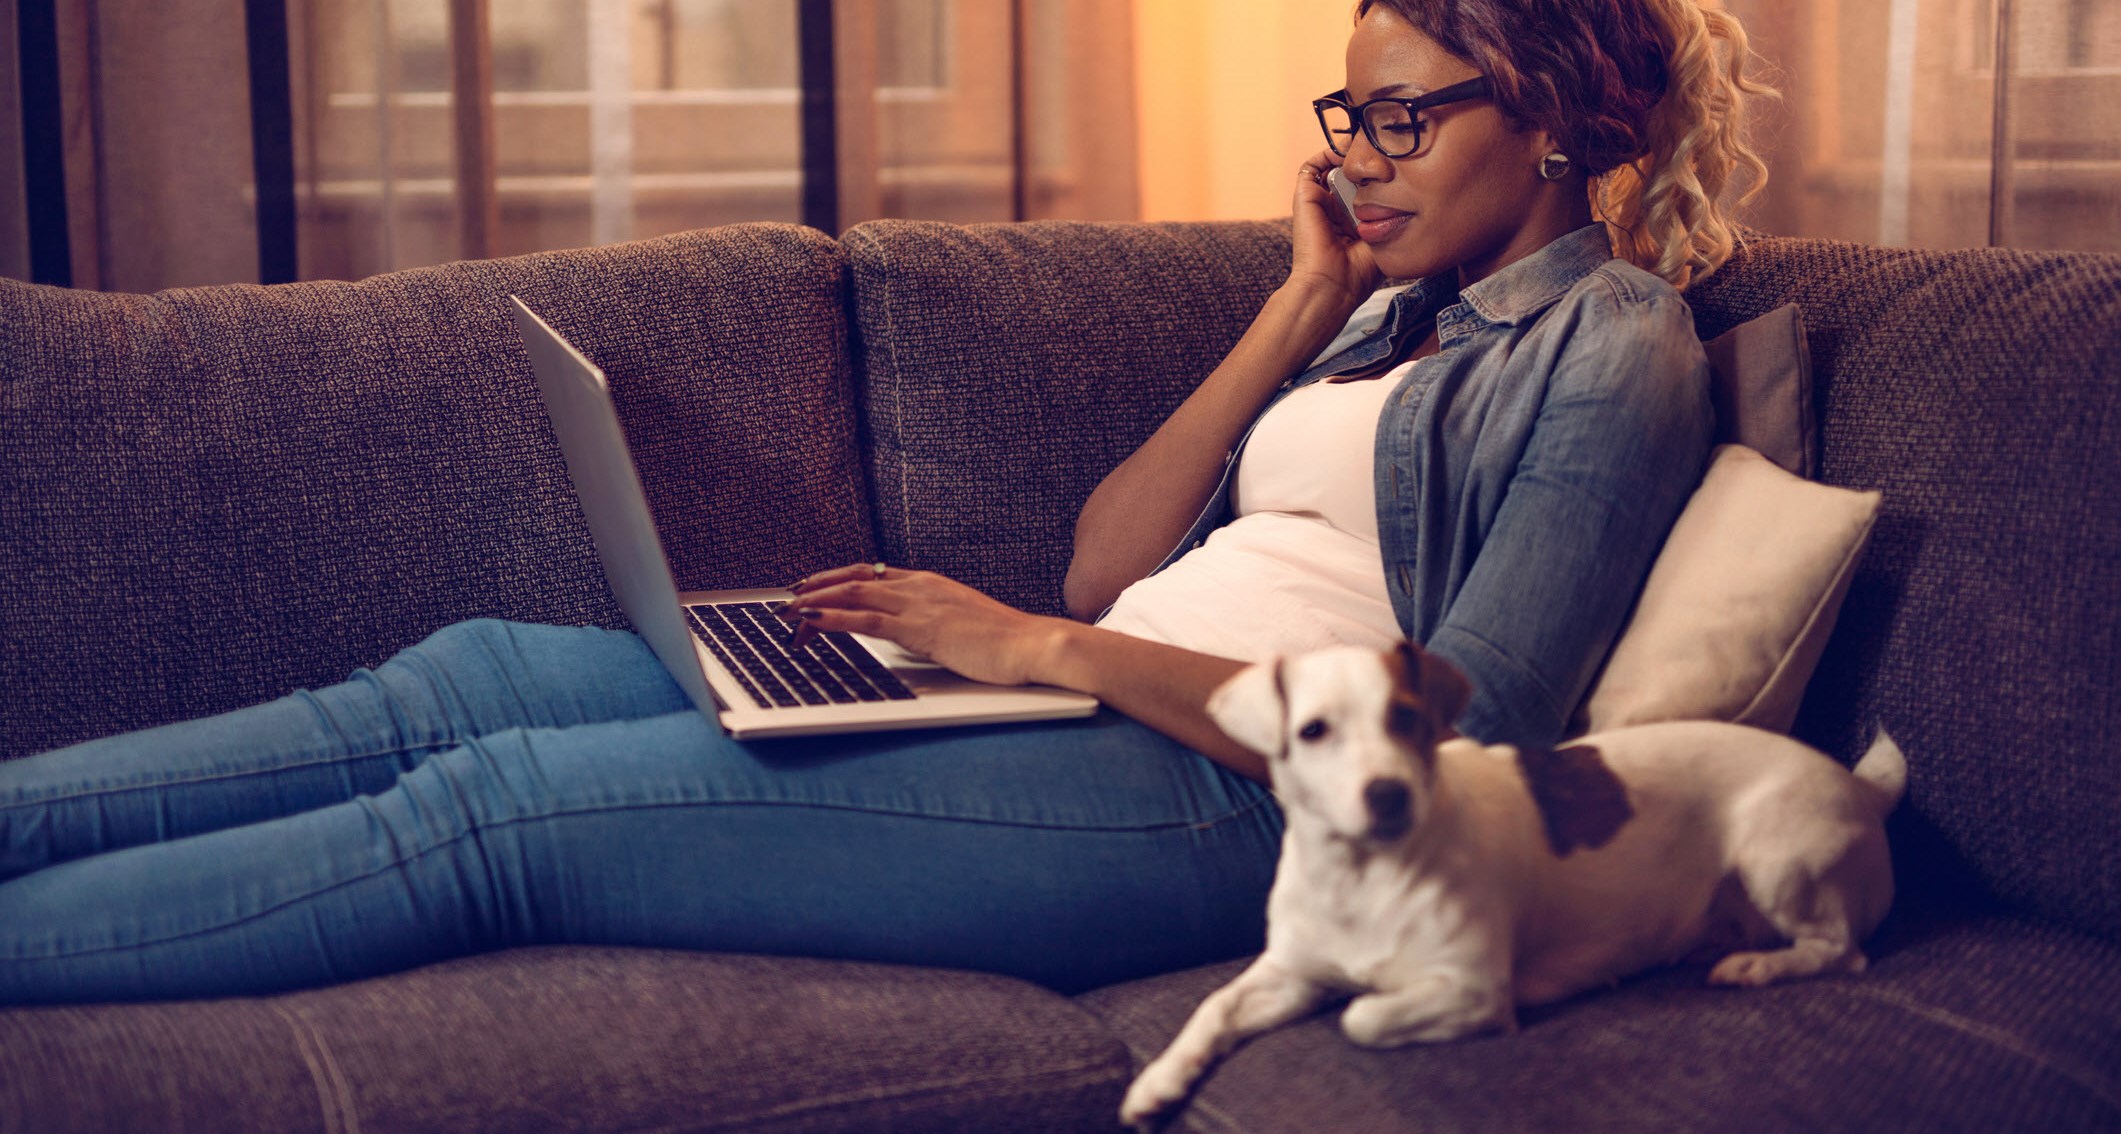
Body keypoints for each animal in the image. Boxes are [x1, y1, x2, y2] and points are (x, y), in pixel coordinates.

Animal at [1128, 644, 1908, 1127]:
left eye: (1407, 719)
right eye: (1314, 731)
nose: (1388, 795)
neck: (1359, 877)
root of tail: (1860, 790)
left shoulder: (1471, 990)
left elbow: (1362, 1016)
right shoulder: (1289, 974)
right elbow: (1213, 1007)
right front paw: (1156, 1082)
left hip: (1775, 857)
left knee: (1840, 950)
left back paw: (1755, 965)